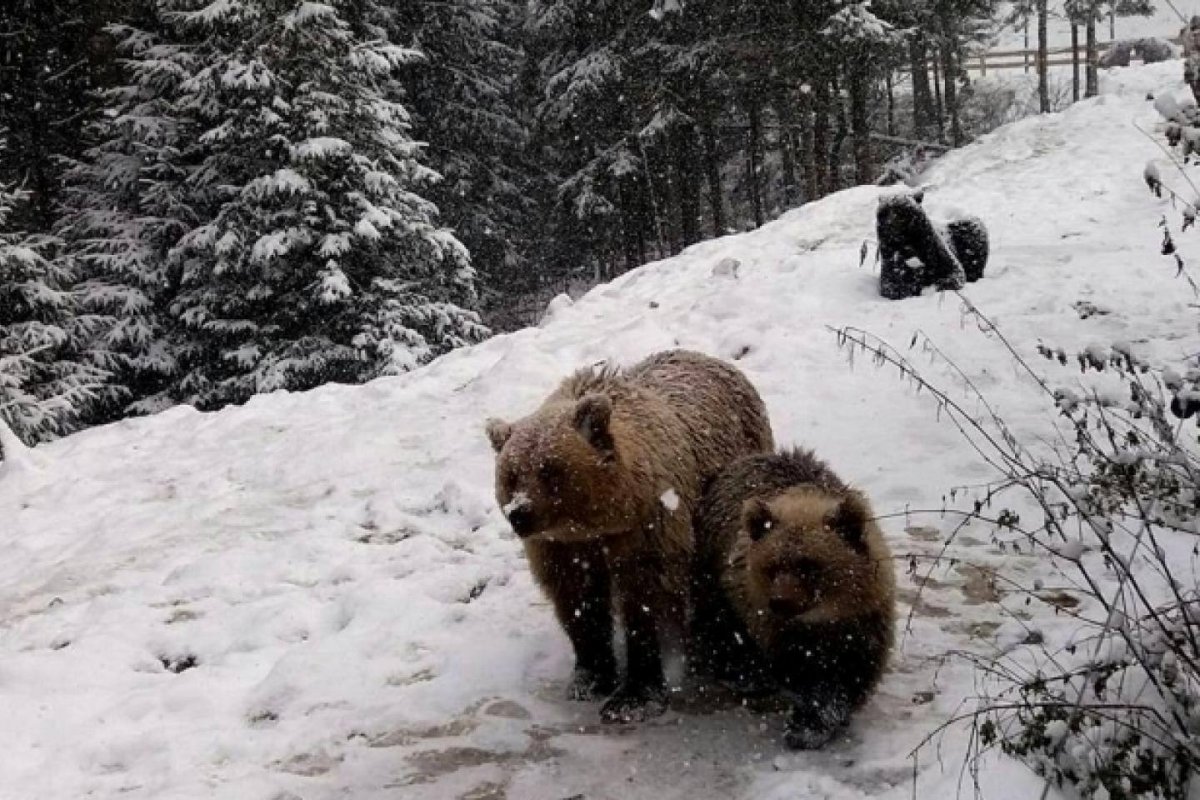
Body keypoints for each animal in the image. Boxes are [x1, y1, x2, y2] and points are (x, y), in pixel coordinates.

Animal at [482, 350, 772, 724]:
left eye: (549, 469)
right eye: (511, 474)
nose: (520, 513)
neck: (599, 521)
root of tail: (712, 359)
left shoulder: (649, 527)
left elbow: (644, 597)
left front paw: (633, 696)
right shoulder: (561, 548)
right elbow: (577, 601)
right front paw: (590, 677)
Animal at [691, 450, 897, 753]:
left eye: (809, 565)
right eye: (773, 566)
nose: (780, 601)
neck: (823, 617)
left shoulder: (864, 621)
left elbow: (853, 670)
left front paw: (818, 722)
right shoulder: (776, 627)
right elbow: (804, 675)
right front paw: (808, 724)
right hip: (713, 569)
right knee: (720, 624)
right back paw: (744, 674)